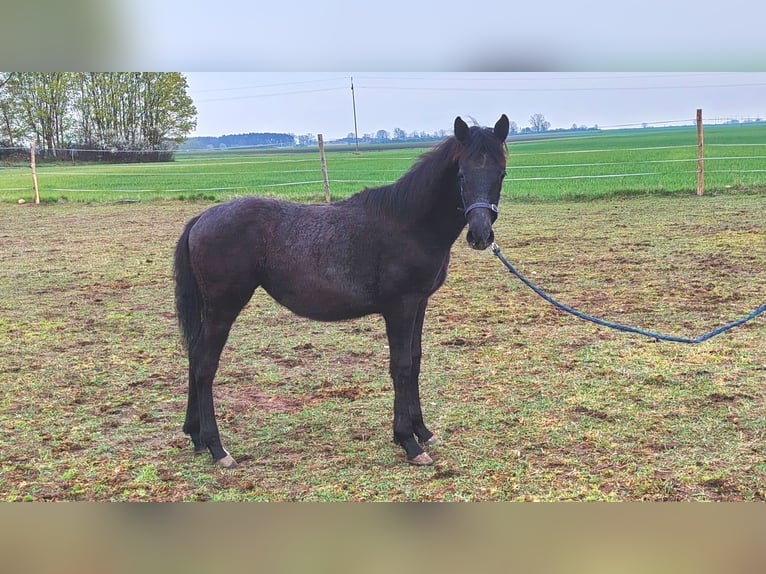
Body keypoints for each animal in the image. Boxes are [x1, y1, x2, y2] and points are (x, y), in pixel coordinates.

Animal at [174, 115, 510, 468]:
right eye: (461, 174)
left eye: (501, 173)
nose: (480, 235)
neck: (409, 223)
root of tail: (202, 218)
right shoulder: (400, 307)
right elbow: (401, 366)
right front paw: (408, 442)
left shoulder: (419, 303)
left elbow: (415, 361)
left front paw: (423, 431)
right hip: (222, 308)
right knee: (204, 364)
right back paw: (217, 448)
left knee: (194, 356)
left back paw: (196, 435)